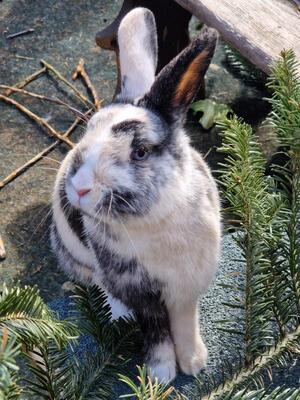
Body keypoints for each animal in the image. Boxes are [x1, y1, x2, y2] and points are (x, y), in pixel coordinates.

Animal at [51, 7, 220, 382]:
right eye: (86, 134)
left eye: (140, 152)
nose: (79, 188)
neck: (157, 218)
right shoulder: (137, 290)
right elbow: (155, 331)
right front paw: (160, 374)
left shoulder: (186, 287)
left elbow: (185, 323)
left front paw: (195, 363)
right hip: (79, 257)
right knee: (97, 282)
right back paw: (118, 313)